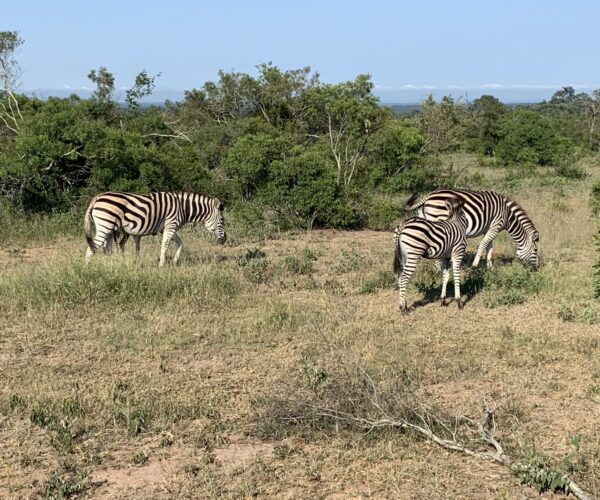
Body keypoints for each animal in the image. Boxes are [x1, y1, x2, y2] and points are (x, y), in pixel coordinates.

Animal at [83, 191, 226, 266]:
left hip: (109, 228)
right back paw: (88, 268)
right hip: (105, 226)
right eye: (222, 220)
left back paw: (111, 265)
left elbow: (180, 243)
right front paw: (161, 265)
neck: (183, 207)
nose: (224, 239)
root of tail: (97, 197)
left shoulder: (168, 227)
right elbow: (165, 245)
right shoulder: (171, 225)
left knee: (107, 248)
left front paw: (174, 261)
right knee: (91, 248)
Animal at [404, 188, 540, 274]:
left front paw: (490, 267)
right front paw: (475, 265)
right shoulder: (495, 225)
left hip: (425, 221)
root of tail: (428, 196)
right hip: (439, 220)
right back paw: (439, 270)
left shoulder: (489, 228)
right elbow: (483, 245)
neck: (508, 216)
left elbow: (489, 248)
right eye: (535, 250)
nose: (537, 268)